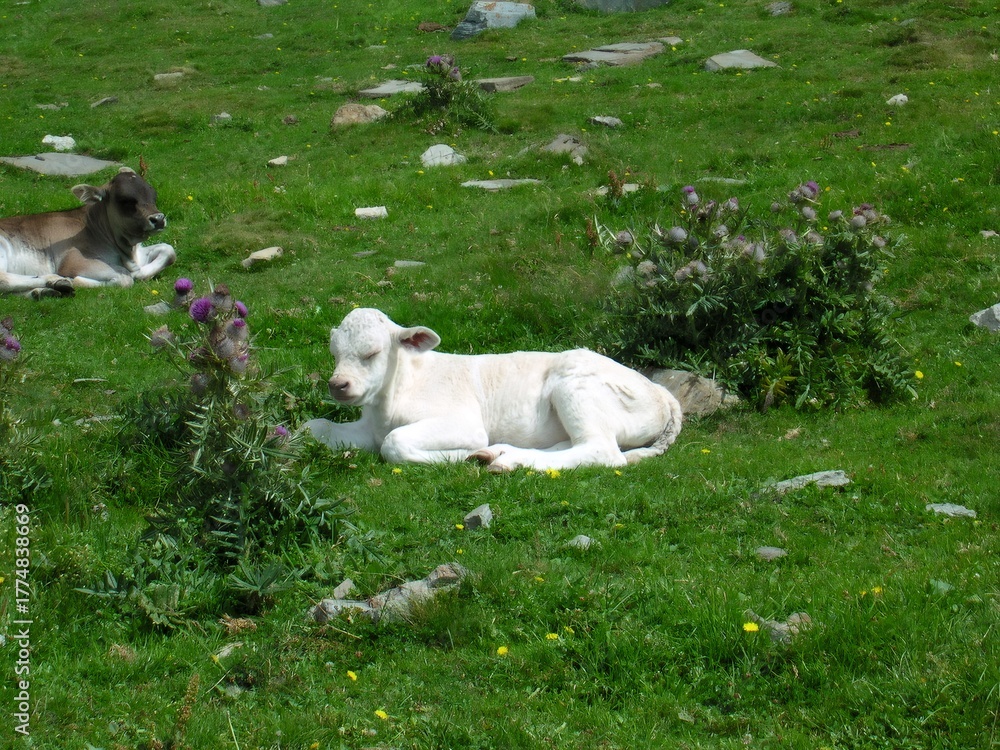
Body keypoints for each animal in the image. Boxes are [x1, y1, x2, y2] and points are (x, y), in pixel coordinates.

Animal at [0, 167, 176, 298]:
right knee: (4, 280)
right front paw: (76, 280)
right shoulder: (73, 260)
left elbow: (169, 251)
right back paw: (55, 280)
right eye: (125, 201)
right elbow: (124, 277)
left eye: (153, 194)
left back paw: (44, 291)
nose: (158, 219)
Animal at [303, 308, 683, 471]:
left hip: (577, 388)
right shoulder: (367, 428)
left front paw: (467, 454)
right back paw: (503, 452)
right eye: (335, 353)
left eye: (372, 353)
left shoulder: (465, 423)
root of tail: (662, 394)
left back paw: (507, 459)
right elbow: (313, 427)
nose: (338, 385)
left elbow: (394, 444)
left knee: (601, 450)